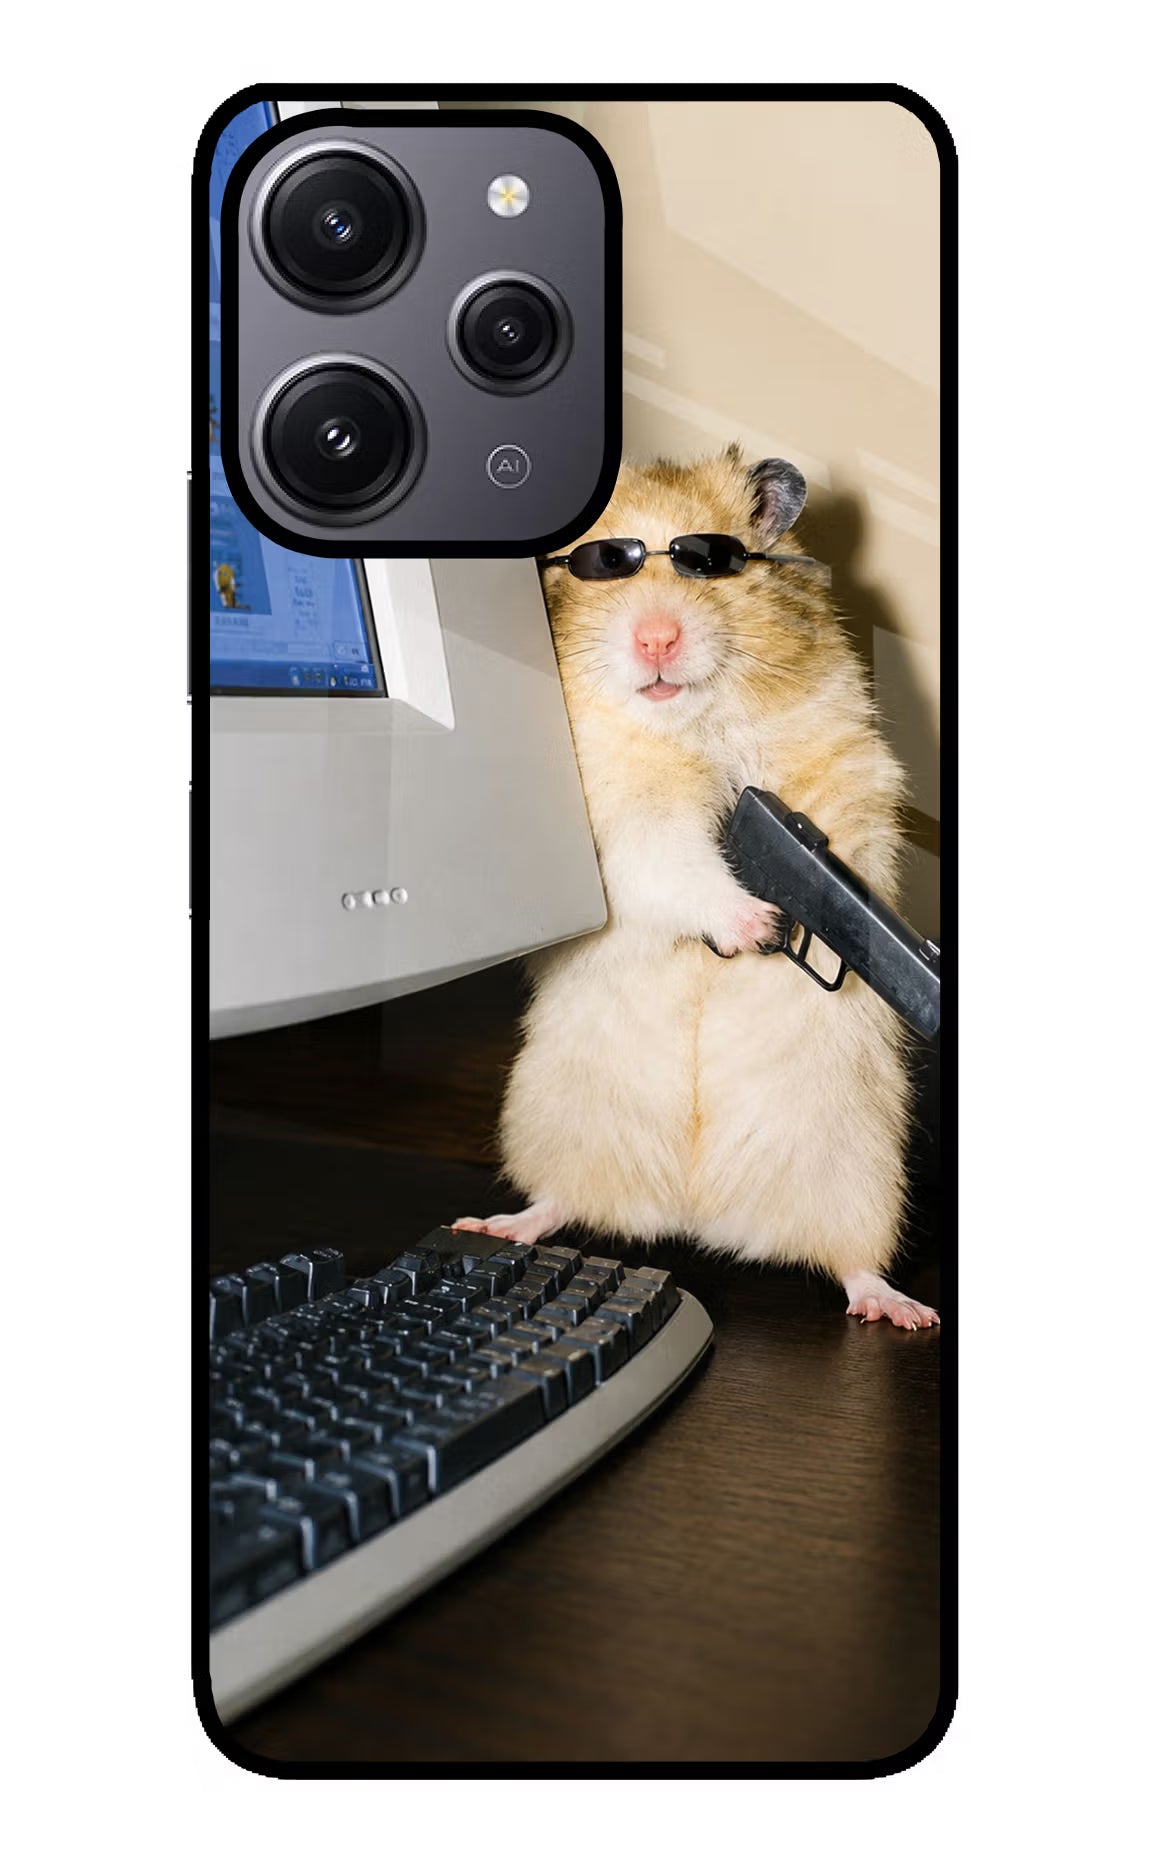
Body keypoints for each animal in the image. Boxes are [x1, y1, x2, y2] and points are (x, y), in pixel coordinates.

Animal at [457, 447, 938, 1329]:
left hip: (857, 1170)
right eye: (601, 564)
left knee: (852, 1261)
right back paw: (497, 1224)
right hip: (555, 1119)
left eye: (708, 561)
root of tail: (694, 1212)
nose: (656, 638)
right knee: (560, 1200)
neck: (689, 723)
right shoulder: (621, 820)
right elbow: (675, 862)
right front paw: (757, 925)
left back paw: (901, 1310)